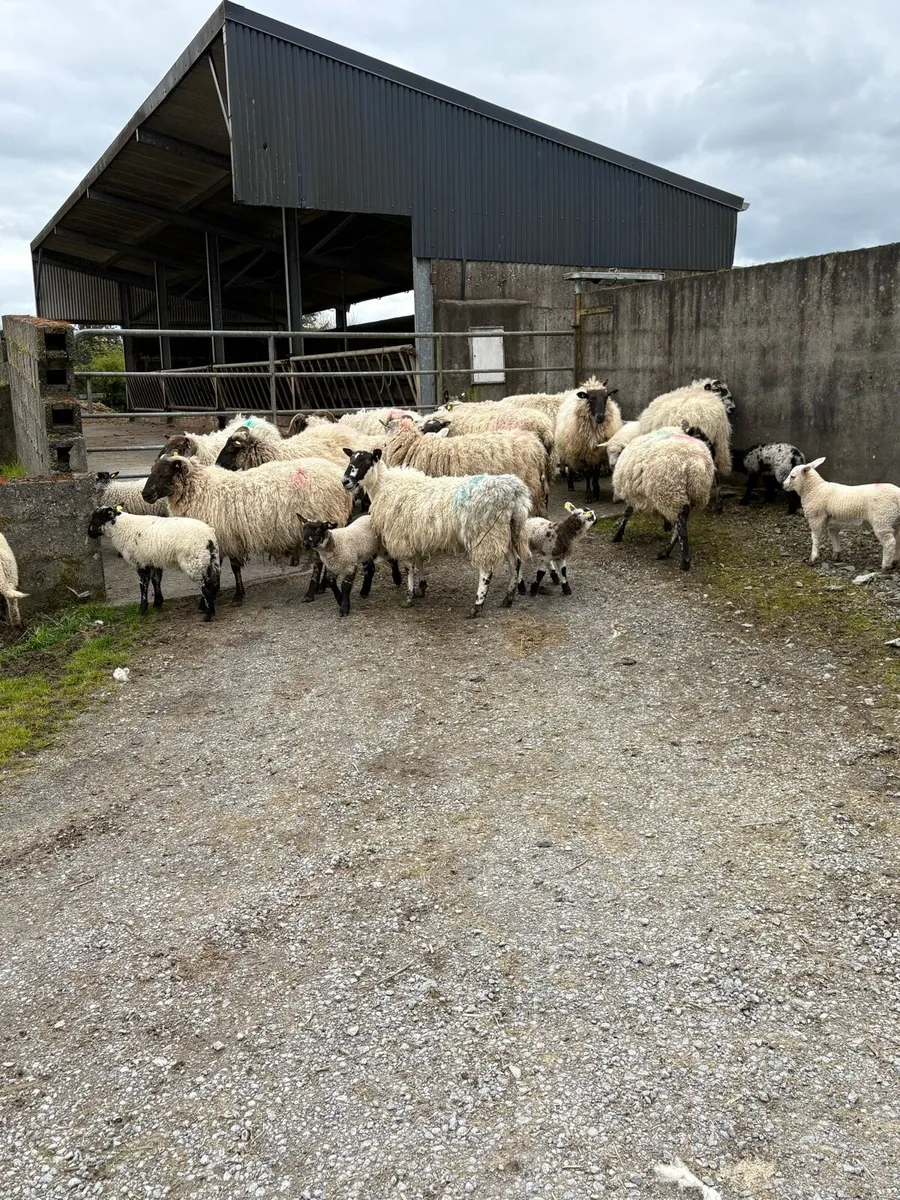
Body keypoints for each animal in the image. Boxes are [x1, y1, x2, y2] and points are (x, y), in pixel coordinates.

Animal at [87, 507, 220, 620]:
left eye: (96, 518)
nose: (89, 533)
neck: (122, 528)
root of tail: (209, 537)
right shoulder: (154, 562)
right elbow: (156, 581)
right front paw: (157, 603)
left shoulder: (141, 562)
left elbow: (143, 586)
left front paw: (142, 610)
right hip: (209, 562)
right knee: (212, 584)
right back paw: (207, 609)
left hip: (194, 562)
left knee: (206, 588)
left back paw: (208, 615)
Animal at [142, 453, 352, 604]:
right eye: (152, 470)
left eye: (164, 473)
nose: (145, 494)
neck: (201, 490)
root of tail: (336, 474)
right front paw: (217, 591)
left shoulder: (228, 537)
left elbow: (233, 567)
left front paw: (235, 595)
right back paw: (321, 587)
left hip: (317, 524)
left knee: (317, 561)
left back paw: (310, 592)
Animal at [341, 448, 532, 617]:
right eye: (350, 459)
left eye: (366, 461)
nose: (345, 481)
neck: (383, 485)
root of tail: (514, 492)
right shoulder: (414, 534)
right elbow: (418, 561)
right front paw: (421, 587)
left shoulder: (402, 536)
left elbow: (409, 567)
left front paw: (409, 597)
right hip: (506, 531)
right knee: (515, 562)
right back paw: (508, 597)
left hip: (485, 532)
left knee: (486, 570)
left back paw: (477, 606)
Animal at [610, 426, 715, 571]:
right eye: (703, 437)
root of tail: (696, 466)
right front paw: (666, 524)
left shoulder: (632, 492)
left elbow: (627, 513)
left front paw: (618, 535)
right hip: (691, 497)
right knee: (680, 525)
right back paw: (665, 551)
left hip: (672, 493)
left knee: (681, 527)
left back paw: (683, 561)